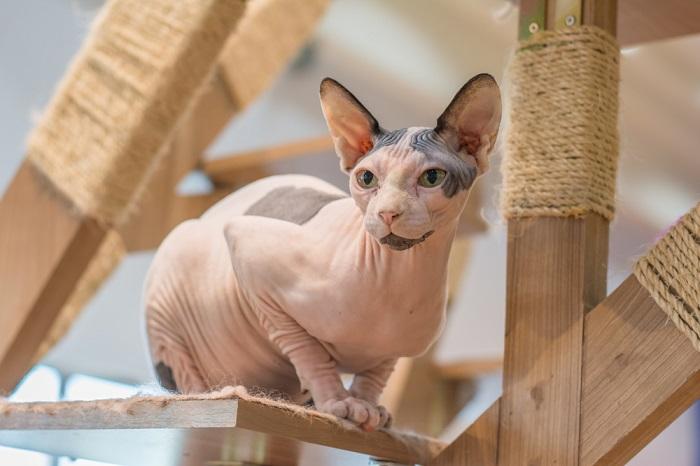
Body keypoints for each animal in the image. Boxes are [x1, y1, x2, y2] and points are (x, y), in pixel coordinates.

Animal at [145, 74, 500, 432]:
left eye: (432, 177)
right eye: (366, 178)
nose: (387, 213)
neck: (394, 279)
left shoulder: (395, 348)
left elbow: (376, 372)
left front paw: (369, 407)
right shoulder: (247, 249)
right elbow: (308, 352)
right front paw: (337, 402)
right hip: (171, 274)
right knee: (180, 370)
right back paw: (211, 394)